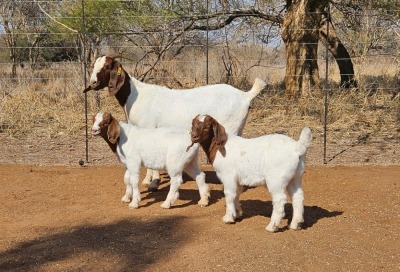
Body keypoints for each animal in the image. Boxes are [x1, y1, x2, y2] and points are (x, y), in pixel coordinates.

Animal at [83, 55, 266, 191]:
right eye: (93, 65)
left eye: (107, 67)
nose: (92, 83)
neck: (135, 95)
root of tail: (245, 96)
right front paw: (149, 180)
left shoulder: (148, 128)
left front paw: (153, 182)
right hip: (238, 128)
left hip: (230, 128)